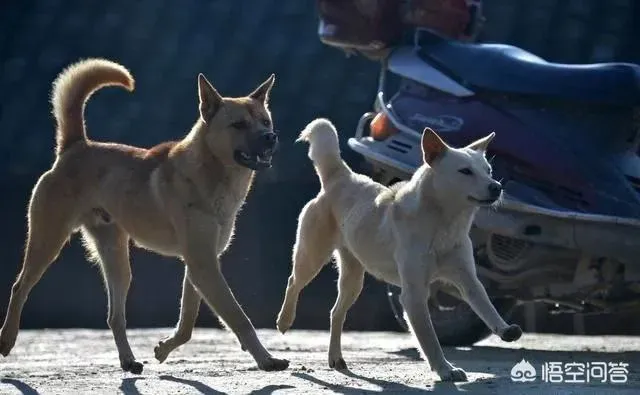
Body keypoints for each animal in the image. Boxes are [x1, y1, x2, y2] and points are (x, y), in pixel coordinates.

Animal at [0, 58, 288, 374]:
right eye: (238, 124)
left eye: (265, 121)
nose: (271, 137)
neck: (211, 172)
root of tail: (75, 147)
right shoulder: (203, 265)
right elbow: (238, 317)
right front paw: (266, 359)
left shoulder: (198, 266)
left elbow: (187, 325)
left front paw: (163, 349)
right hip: (47, 243)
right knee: (18, 287)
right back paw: (7, 340)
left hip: (117, 261)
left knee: (114, 316)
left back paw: (128, 360)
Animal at [276, 119, 520, 382]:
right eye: (465, 171)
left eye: (488, 171)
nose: (497, 187)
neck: (443, 224)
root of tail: (341, 177)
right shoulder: (413, 295)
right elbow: (429, 338)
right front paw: (445, 369)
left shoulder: (467, 280)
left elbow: (486, 306)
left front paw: (504, 329)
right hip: (311, 257)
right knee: (293, 282)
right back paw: (284, 320)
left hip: (353, 279)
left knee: (335, 313)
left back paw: (336, 358)